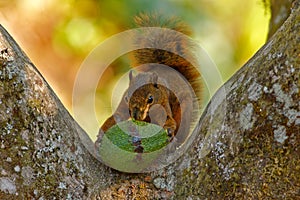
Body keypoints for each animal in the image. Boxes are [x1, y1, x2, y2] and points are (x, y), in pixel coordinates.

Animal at [97, 14, 200, 145]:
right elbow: (118, 116)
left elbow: (167, 119)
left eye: (150, 99)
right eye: (126, 98)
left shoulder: (164, 103)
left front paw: (168, 130)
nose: (135, 116)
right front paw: (102, 134)